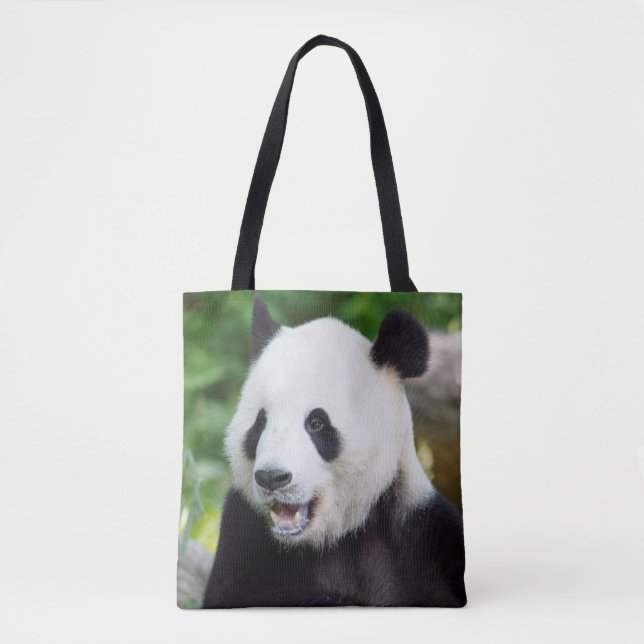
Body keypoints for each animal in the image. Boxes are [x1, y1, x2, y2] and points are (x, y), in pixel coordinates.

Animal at [202, 296, 466, 608]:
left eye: (316, 423)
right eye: (261, 422)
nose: (272, 477)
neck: (339, 535)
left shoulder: (426, 537)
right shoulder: (241, 536)